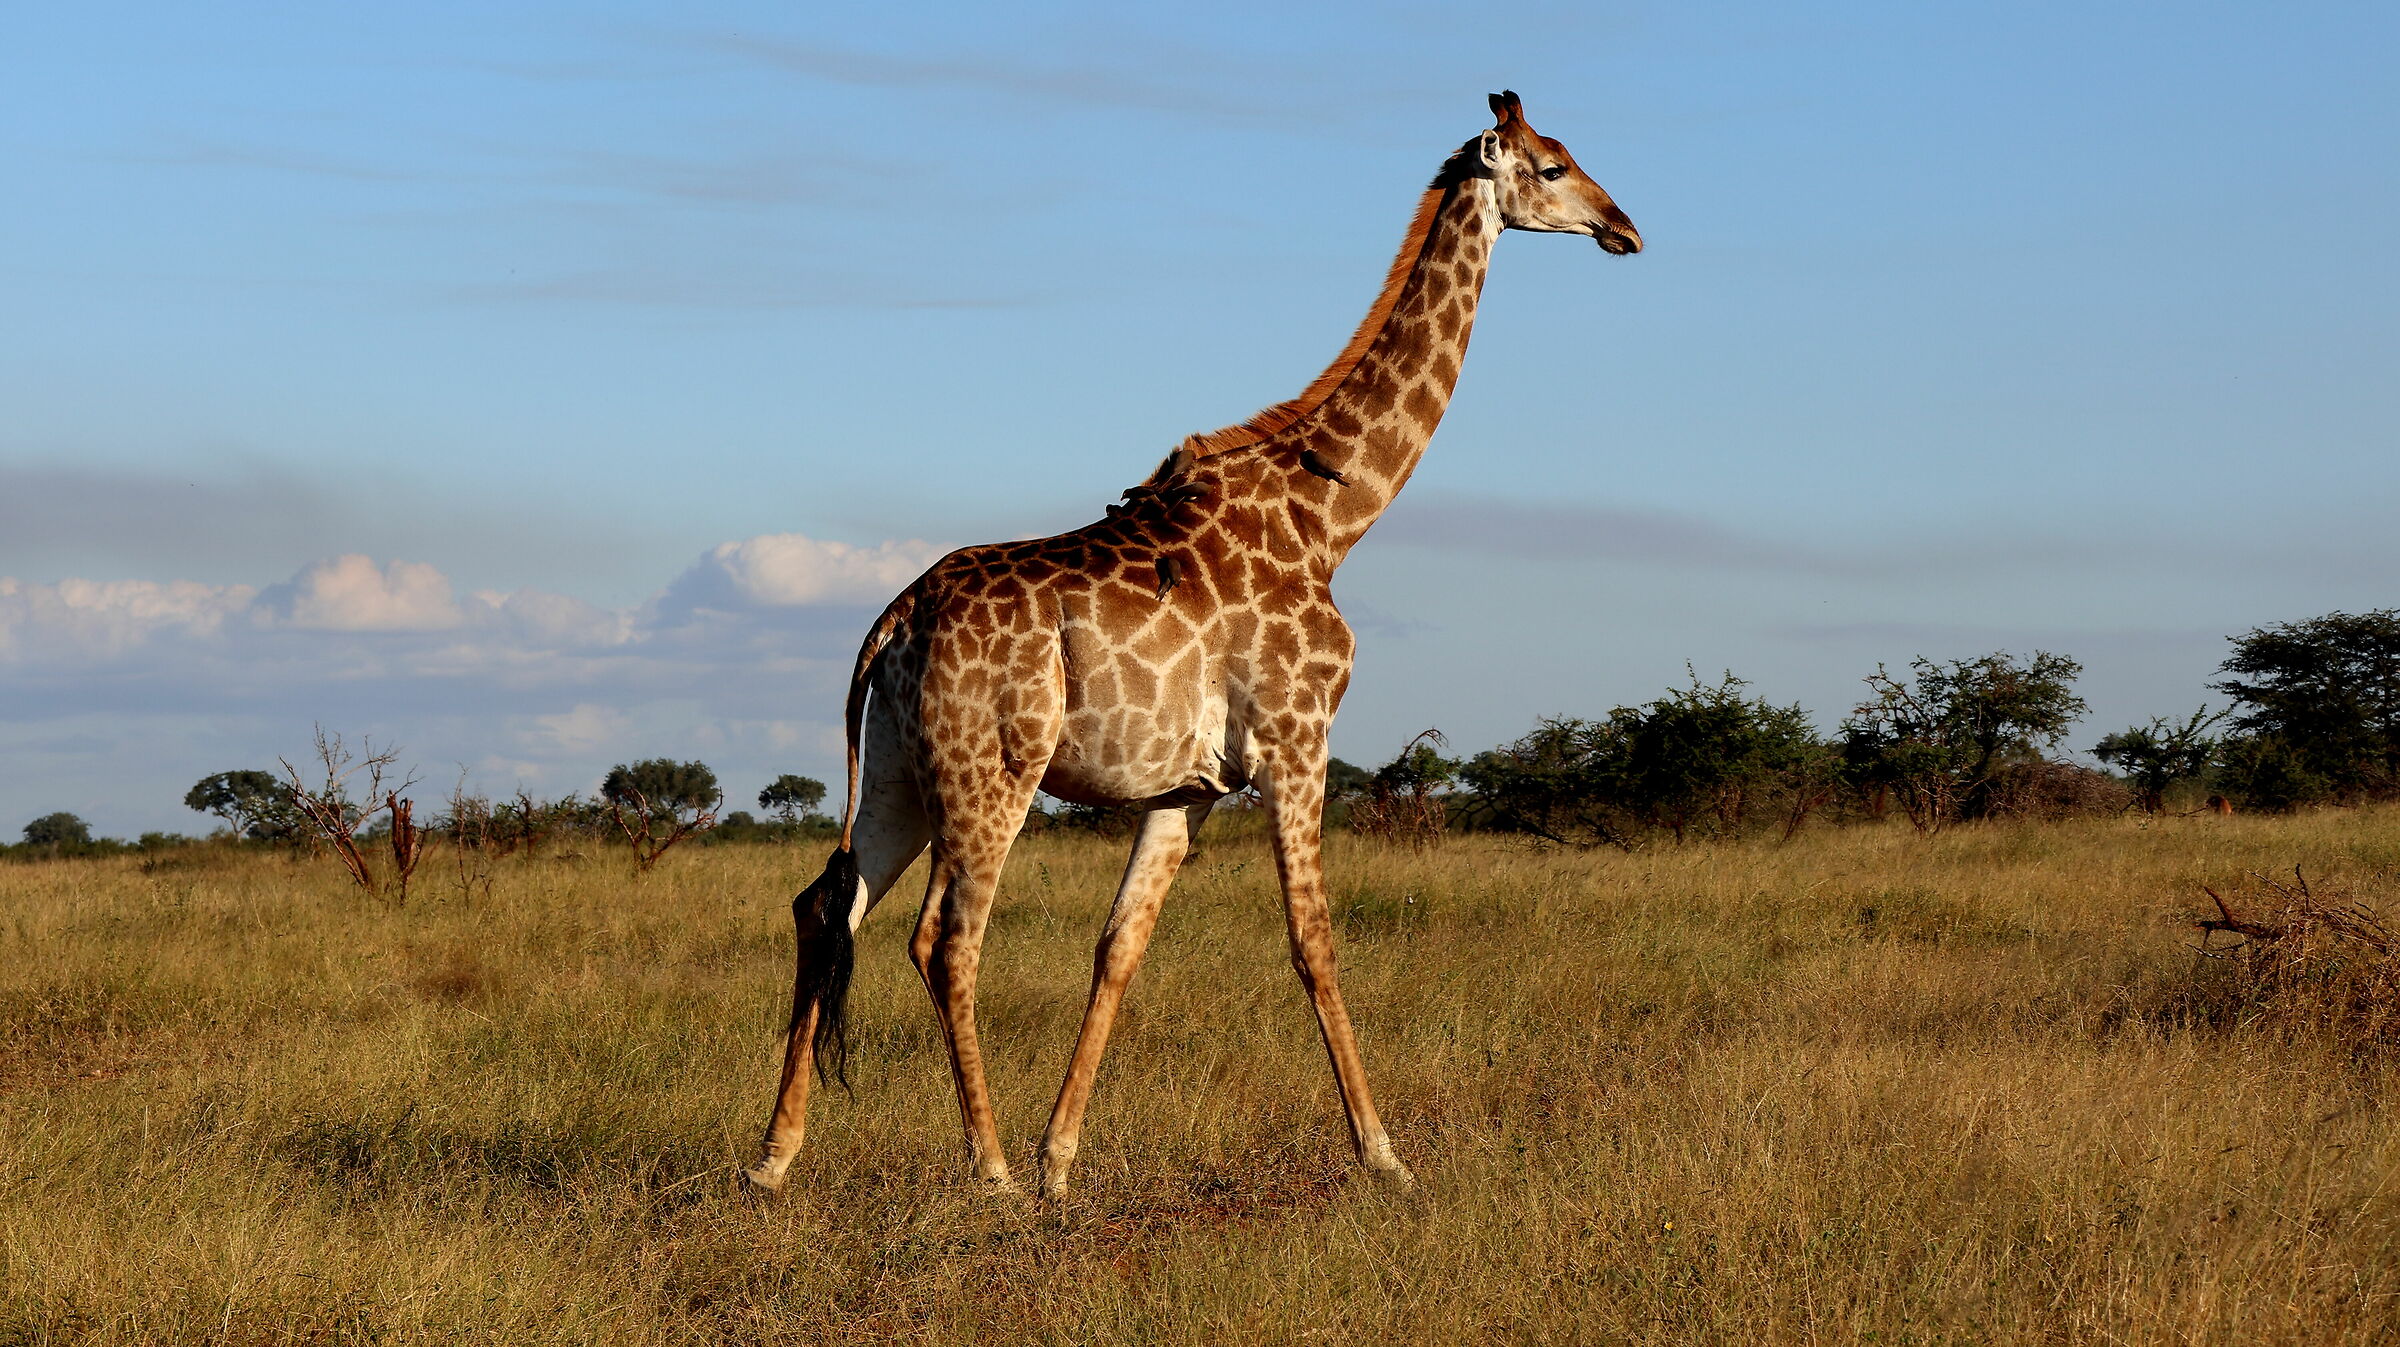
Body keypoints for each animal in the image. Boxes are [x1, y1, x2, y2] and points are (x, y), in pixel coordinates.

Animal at [741, 91, 1640, 1200]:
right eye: (1552, 165)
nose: (1623, 227)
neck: (1330, 517)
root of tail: (896, 621)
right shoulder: (1298, 742)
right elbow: (1313, 942)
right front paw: (1384, 1155)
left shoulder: (1189, 788)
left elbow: (1119, 946)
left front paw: (1060, 1160)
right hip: (991, 769)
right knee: (945, 939)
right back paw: (985, 1169)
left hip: (904, 772)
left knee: (827, 905)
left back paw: (775, 1158)